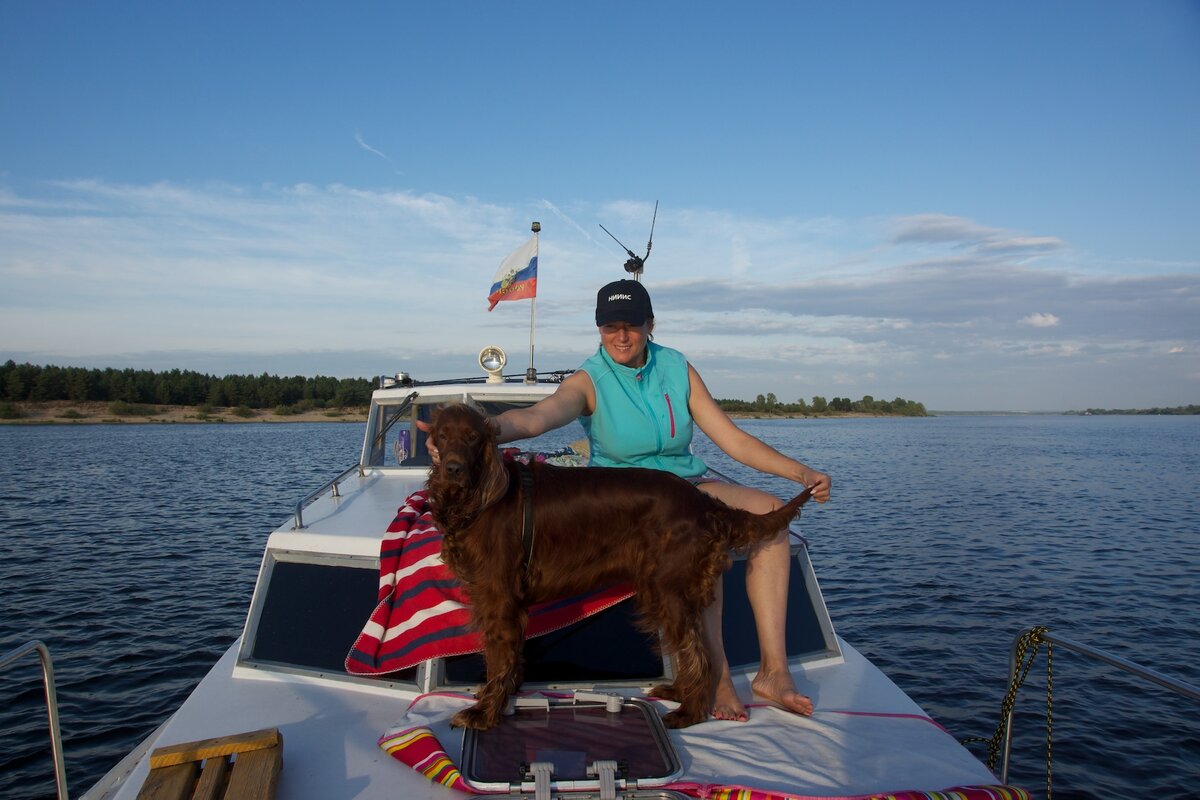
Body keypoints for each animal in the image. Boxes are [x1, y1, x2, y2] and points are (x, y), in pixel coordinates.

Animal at [417, 402, 811, 729]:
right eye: (441, 437)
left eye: (472, 437)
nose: (452, 468)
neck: (478, 495)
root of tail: (702, 502)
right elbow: (510, 656)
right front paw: (503, 697)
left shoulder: (498, 595)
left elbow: (498, 657)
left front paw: (484, 712)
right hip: (660, 589)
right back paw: (679, 695)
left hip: (668, 588)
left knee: (698, 652)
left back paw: (689, 712)